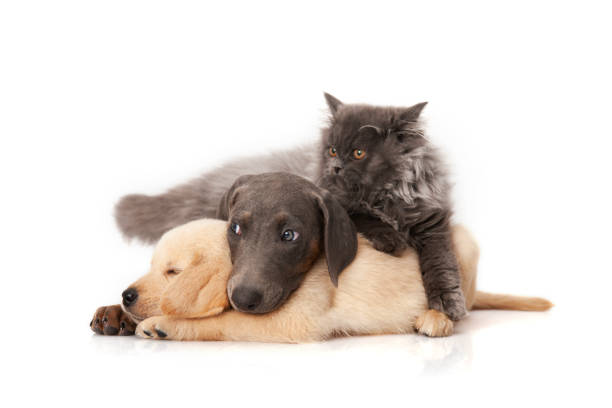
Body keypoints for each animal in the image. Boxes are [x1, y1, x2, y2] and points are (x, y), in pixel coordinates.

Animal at [122, 218, 552, 342]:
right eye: (152, 265)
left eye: (173, 272)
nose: (126, 295)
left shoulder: (293, 321)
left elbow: (224, 321)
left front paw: (162, 324)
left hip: (461, 245)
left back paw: (436, 319)